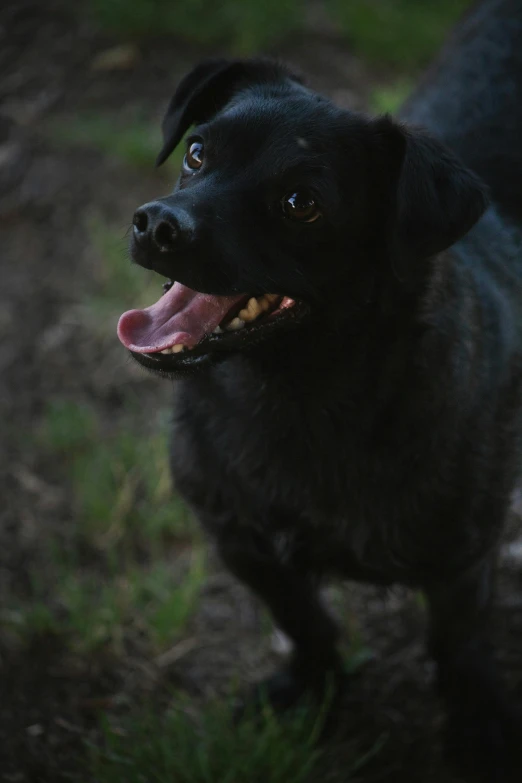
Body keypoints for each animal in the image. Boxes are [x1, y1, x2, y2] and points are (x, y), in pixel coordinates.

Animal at [118, 1, 520, 776]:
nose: (156, 223)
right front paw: (311, 689)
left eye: (300, 202)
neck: (293, 395)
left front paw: (478, 724)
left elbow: (458, 646)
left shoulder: (461, 563)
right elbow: (302, 619)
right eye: (197, 153)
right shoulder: (241, 540)